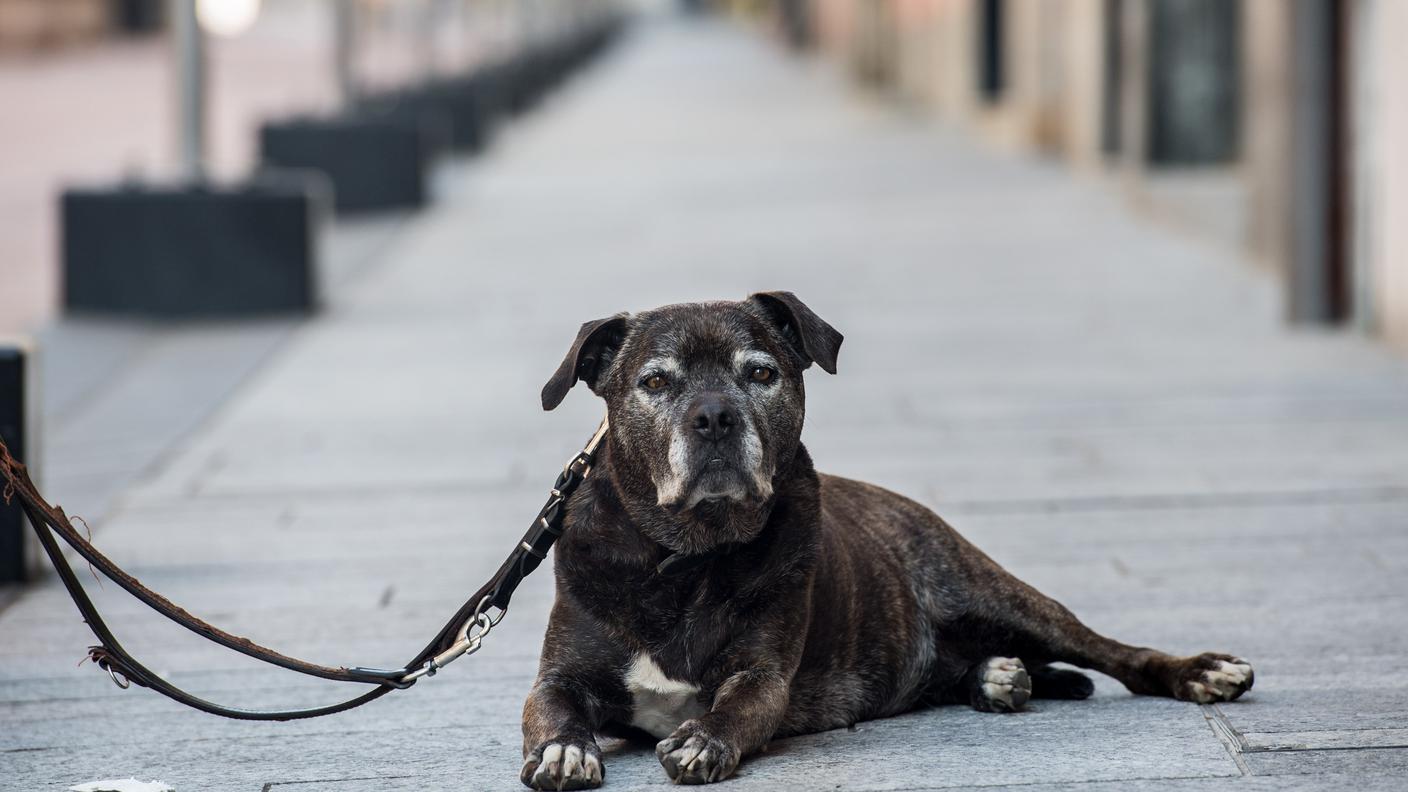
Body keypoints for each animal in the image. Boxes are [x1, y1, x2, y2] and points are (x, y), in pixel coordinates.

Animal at [520, 293, 1255, 783]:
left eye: (760, 373)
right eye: (654, 381)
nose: (715, 416)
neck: (687, 557)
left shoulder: (763, 677)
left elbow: (736, 706)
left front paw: (703, 739)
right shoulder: (560, 675)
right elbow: (550, 708)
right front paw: (563, 749)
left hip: (991, 594)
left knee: (1110, 650)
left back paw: (1198, 671)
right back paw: (995, 676)